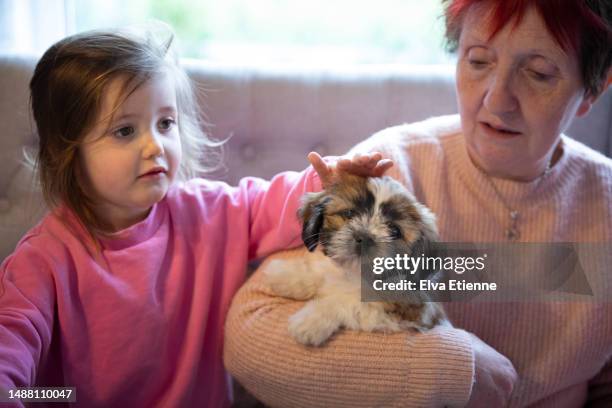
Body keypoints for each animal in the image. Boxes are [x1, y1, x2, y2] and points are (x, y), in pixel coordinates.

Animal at [260, 174, 448, 346]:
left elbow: (344, 302)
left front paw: (311, 320)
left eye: (394, 231)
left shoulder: (404, 312)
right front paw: (285, 275)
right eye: (349, 213)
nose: (364, 237)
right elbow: (318, 272)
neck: (354, 273)